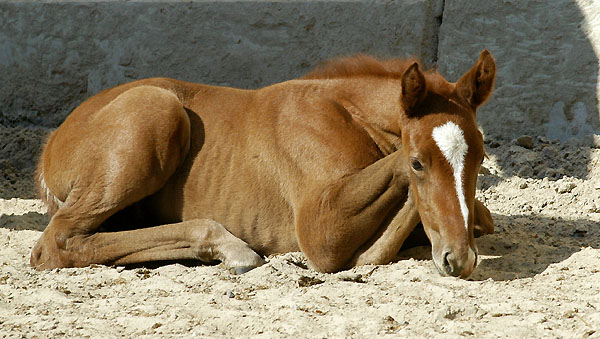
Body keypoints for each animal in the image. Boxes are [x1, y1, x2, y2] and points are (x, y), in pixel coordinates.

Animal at [30, 51, 494, 278]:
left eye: (481, 158)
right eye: (418, 164)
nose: (460, 259)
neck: (346, 113)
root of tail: (51, 144)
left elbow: (481, 219)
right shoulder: (320, 228)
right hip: (156, 112)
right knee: (56, 242)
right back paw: (230, 246)